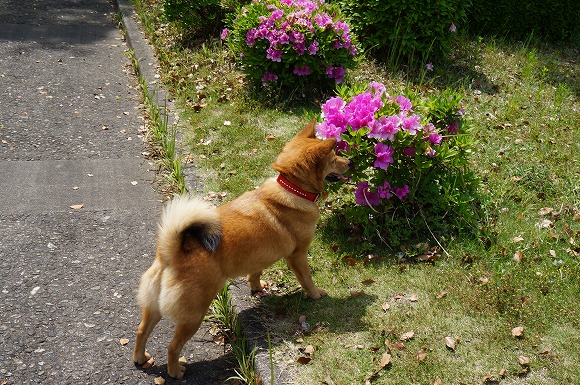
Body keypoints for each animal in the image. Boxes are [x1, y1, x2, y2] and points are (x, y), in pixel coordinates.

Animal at [133, 120, 348, 378]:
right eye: (334, 158)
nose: (350, 162)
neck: (292, 189)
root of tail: (171, 253)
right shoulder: (298, 255)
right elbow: (306, 279)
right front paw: (315, 294)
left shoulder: (259, 257)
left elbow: (255, 273)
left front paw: (257, 288)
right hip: (194, 314)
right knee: (172, 346)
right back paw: (175, 371)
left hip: (153, 308)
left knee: (141, 331)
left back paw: (140, 358)